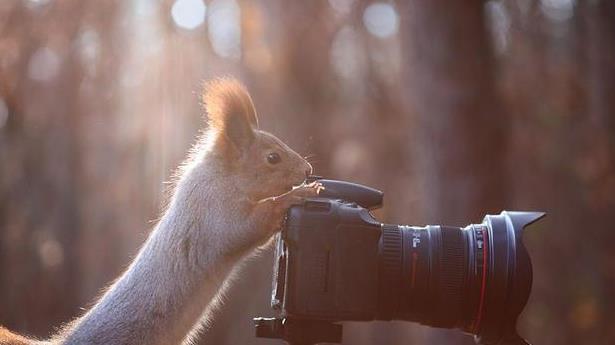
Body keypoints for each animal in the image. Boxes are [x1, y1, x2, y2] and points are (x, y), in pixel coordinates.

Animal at [0, 78, 324, 344]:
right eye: (273, 157)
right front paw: (300, 194)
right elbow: (250, 225)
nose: (308, 170)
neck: (221, 177)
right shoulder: (214, 213)